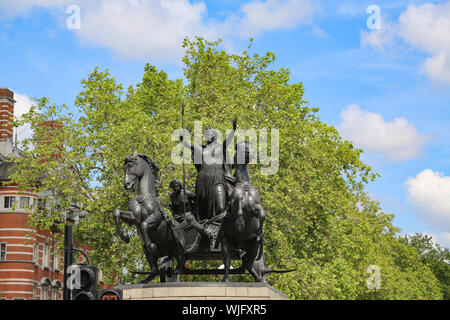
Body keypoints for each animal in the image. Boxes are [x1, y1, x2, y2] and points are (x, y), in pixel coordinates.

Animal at [113, 152, 184, 282]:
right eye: (124, 168)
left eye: (130, 165)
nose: (127, 185)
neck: (143, 198)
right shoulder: (133, 218)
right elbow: (116, 212)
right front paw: (125, 237)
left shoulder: (154, 218)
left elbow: (144, 225)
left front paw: (152, 245)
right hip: (152, 253)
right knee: (155, 269)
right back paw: (145, 280)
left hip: (179, 251)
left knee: (179, 269)